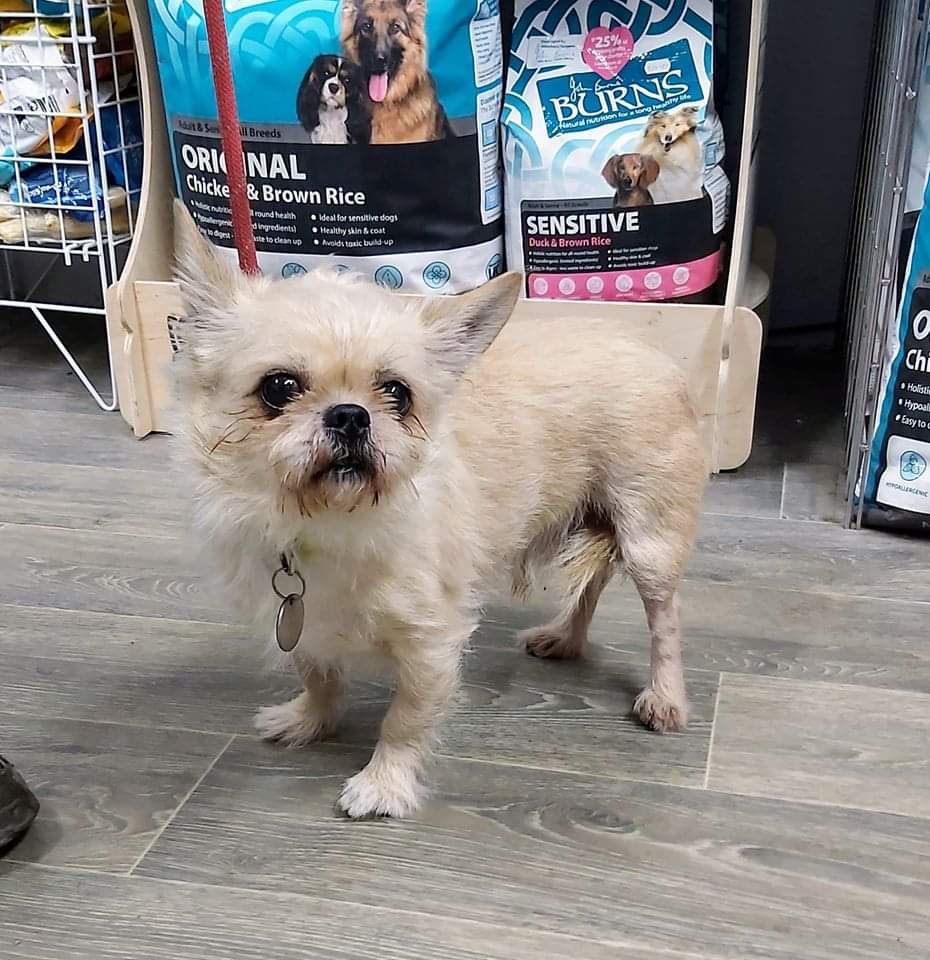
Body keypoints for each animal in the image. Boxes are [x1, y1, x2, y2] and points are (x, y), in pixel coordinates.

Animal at [172, 202, 706, 819]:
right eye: (278, 388)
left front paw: (384, 784)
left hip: (648, 541)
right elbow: (319, 674)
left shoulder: (432, 642)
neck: (329, 522)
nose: (351, 415)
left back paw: (664, 697)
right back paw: (565, 639)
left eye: (397, 394)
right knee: (591, 584)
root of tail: (657, 356)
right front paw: (311, 721)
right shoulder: (307, 622)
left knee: (664, 620)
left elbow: (405, 718)